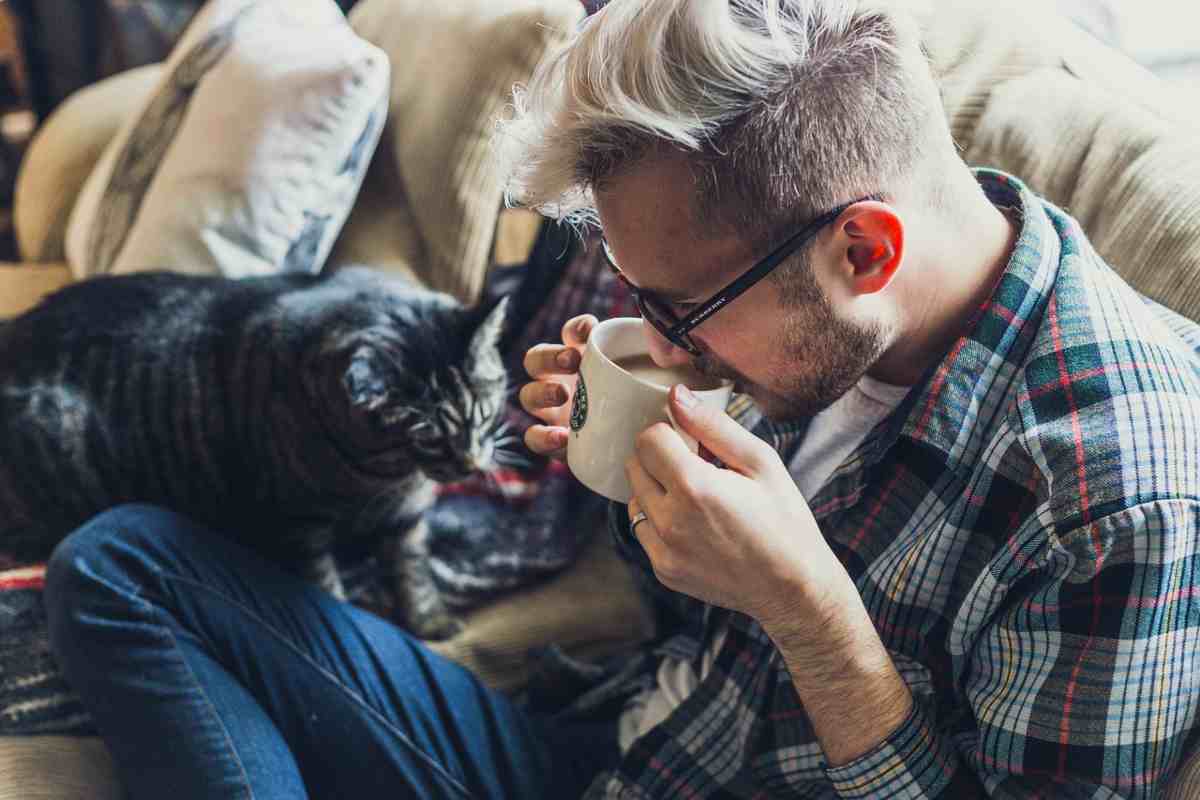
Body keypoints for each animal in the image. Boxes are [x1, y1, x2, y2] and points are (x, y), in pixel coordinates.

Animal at [0, 266, 511, 642]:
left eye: (484, 413)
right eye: (427, 437)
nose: (469, 463)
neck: (384, 478)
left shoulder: (406, 519)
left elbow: (413, 571)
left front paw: (429, 620)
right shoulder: (297, 523)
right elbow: (325, 585)